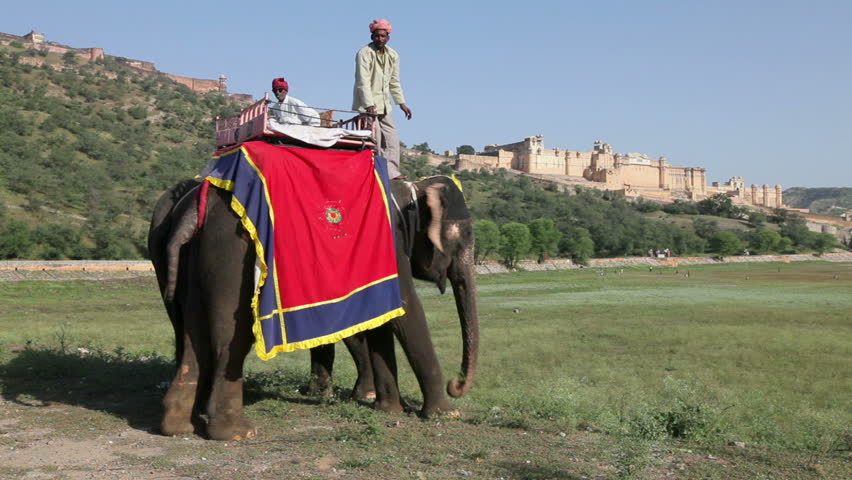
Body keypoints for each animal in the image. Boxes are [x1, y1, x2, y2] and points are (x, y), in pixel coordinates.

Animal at [148, 174, 478, 440]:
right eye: (467, 235)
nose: (456, 384)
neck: (410, 189)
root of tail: (194, 209)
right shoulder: (390, 243)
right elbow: (406, 312)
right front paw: (445, 414)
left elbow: (380, 317)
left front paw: (386, 408)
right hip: (231, 254)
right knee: (230, 340)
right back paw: (236, 432)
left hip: (195, 262)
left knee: (194, 339)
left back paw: (178, 426)